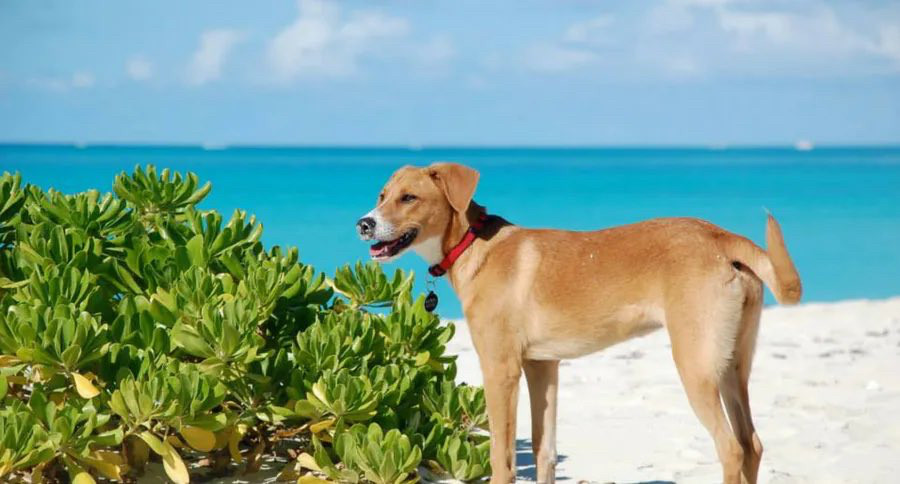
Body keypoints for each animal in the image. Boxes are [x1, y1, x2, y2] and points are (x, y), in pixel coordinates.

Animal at [356, 163, 800, 484]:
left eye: (409, 198)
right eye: (381, 196)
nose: (364, 223)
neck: (473, 246)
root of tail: (721, 237)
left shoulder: (501, 369)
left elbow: (503, 458)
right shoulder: (542, 366)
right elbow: (544, 451)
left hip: (696, 366)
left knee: (731, 448)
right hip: (731, 366)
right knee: (752, 444)